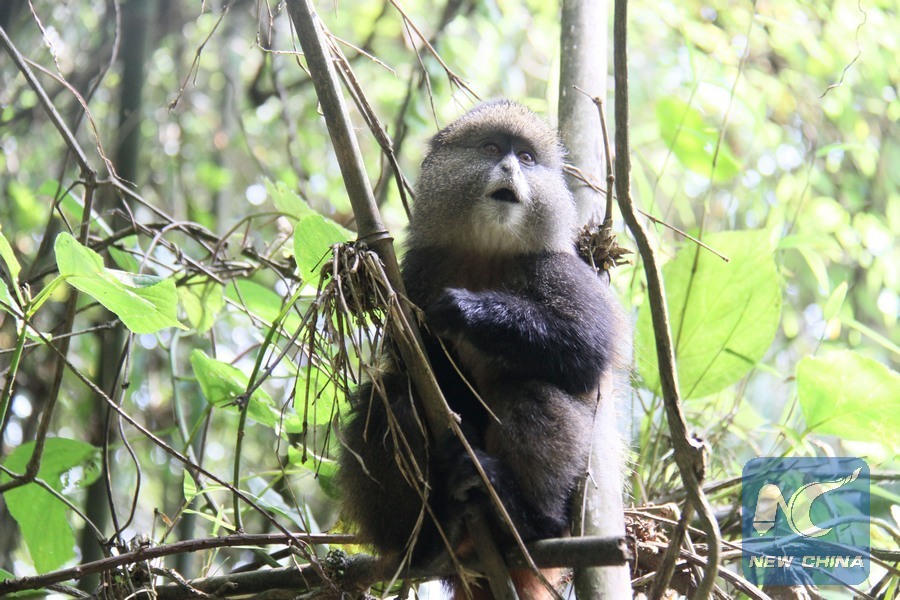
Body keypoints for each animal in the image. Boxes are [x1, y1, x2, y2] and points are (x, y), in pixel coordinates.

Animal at [337, 100, 628, 599]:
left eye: (526, 158)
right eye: (492, 149)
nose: (510, 167)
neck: (484, 252)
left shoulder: (559, 268)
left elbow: (586, 351)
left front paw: (467, 311)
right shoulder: (417, 271)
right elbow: (416, 369)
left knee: (528, 389)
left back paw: (524, 518)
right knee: (390, 400)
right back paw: (429, 538)